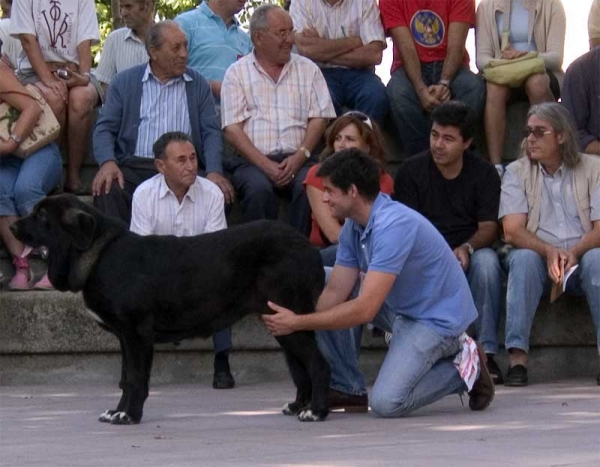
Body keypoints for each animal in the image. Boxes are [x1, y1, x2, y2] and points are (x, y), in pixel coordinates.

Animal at [9, 194, 330, 424]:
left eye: (41, 216)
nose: (11, 226)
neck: (99, 254)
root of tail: (308, 247)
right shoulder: (125, 338)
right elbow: (126, 379)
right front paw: (117, 411)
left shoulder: (137, 334)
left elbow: (136, 379)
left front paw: (129, 415)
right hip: (280, 322)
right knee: (300, 368)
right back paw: (299, 405)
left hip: (290, 317)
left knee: (317, 363)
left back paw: (316, 411)